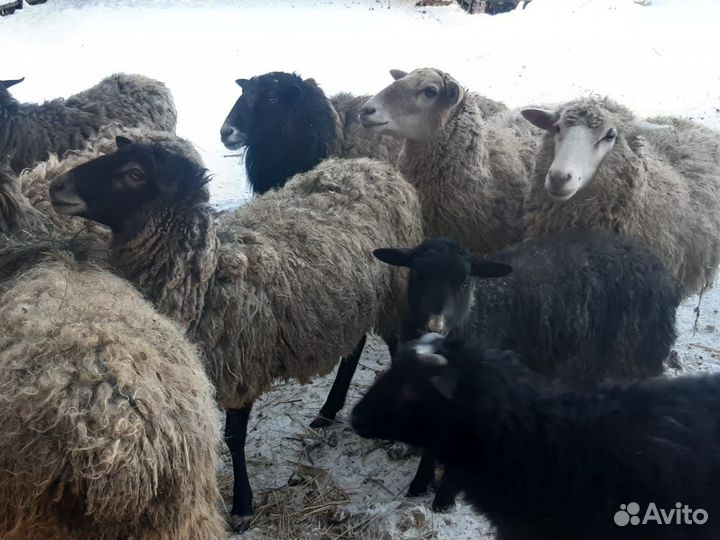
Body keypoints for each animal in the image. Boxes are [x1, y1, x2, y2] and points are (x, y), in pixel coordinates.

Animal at [49, 138, 423, 532]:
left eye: (134, 173)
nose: (56, 186)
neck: (205, 278)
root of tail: (374, 165)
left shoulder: (241, 364)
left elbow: (234, 437)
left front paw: (242, 505)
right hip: (352, 305)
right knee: (355, 346)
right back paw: (327, 411)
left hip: (393, 295)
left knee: (397, 346)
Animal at [374, 230, 680, 510]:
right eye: (417, 275)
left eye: (464, 281)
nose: (435, 326)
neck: (478, 311)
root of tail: (656, 266)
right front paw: (419, 484)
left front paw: (444, 497)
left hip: (634, 355)